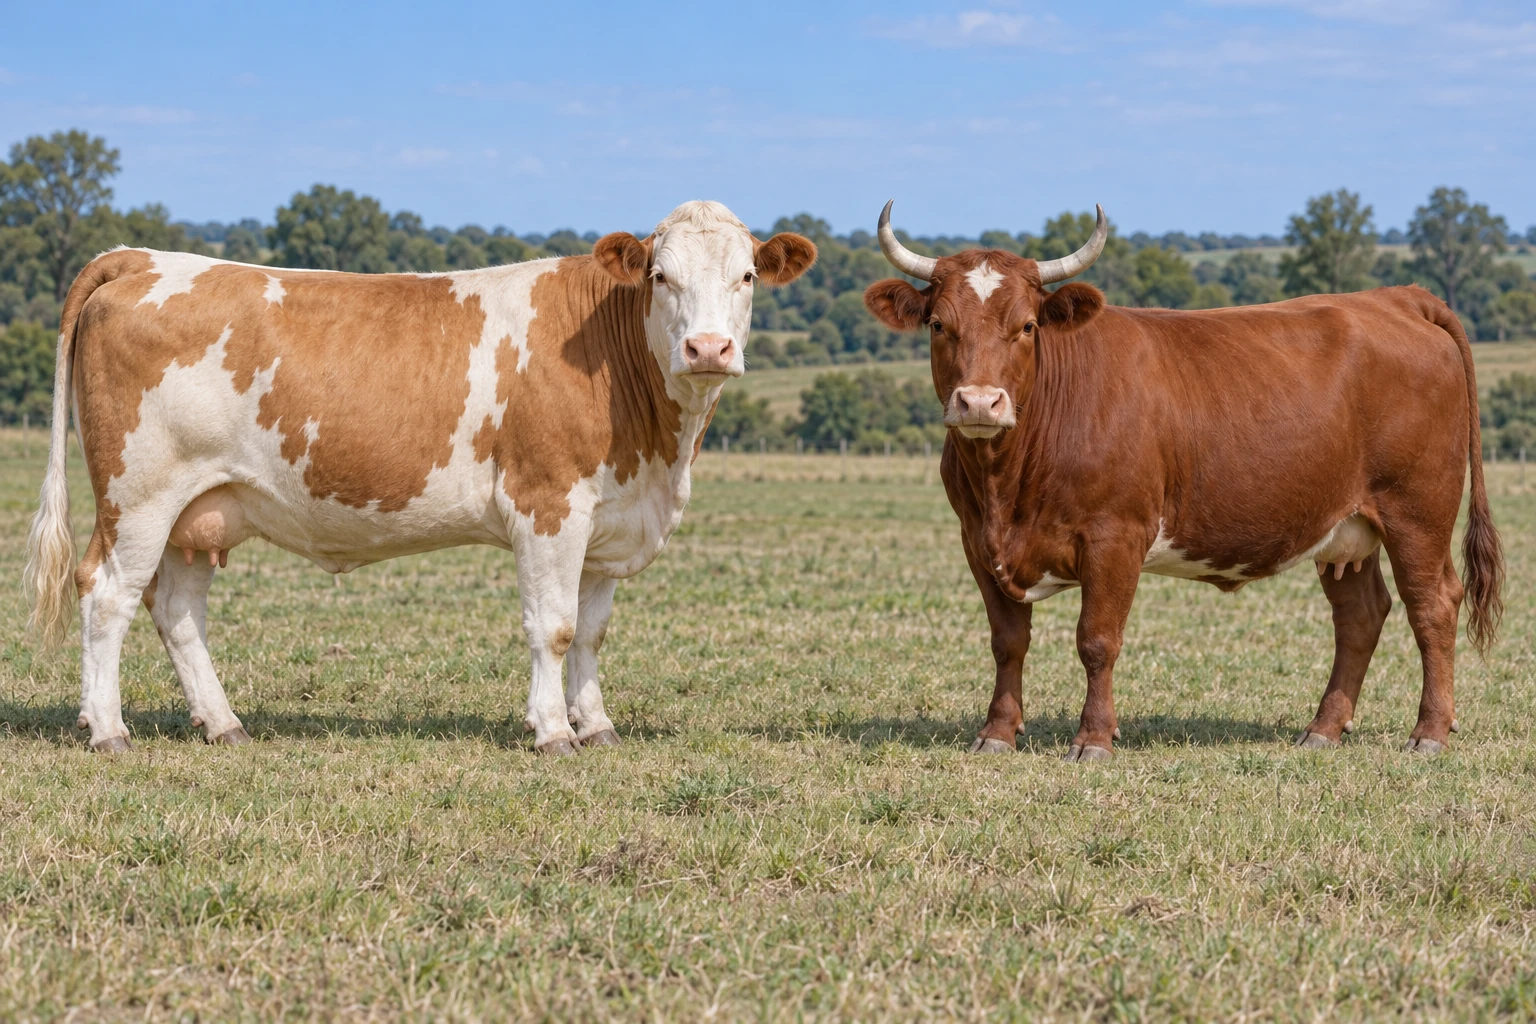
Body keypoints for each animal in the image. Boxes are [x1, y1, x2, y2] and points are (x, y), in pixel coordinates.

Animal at [24, 201, 815, 755]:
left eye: (747, 277)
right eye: (660, 277)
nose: (708, 348)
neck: (657, 453)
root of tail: (140, 257)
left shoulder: (609, 518)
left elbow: (590, 634)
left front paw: (596, 726)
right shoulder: (547, 503)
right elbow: (554, 628)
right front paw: (553, 731)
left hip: (201, 509)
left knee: (178, 610)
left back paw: (224, 724)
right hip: (138, 497)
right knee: (106, 595)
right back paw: (108, 730)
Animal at [863, 201, 1501, 760]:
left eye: (1025, 326)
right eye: (938, 324)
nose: (979, 402)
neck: (1007, 486)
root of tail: (1397, 297)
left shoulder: (1116, 537)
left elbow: (1097, 641)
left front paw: (1093, 739)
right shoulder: (977, 541)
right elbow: (1007, 642)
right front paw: (996, 733)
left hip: (1417, 511)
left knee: (1432, 605)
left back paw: (1429, 733)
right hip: (1344, 528)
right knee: (1361, 615)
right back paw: (1322, 730)